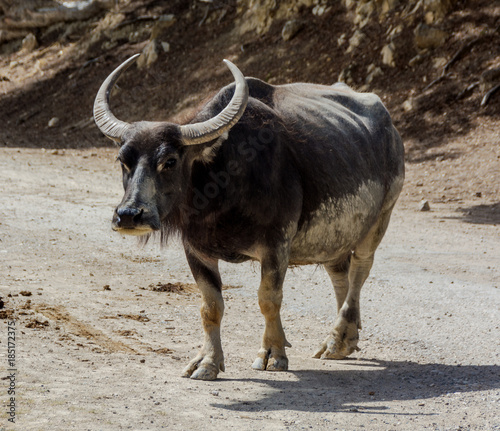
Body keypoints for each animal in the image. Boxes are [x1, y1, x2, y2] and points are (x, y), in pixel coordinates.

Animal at [94, 54, 406, 382]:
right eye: (123, 160)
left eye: (169, 161)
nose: (129, 214)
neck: (222, 186)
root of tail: (389, 129)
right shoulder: (196, 250)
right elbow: (210, 306)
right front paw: (207, 361)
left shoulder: (276, 245)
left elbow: (268, 299)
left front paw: (273, 354)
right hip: (335, 237)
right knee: (339, 275)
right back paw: (344, 339)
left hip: (381, 218)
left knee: (360, 270)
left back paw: (337, 338)